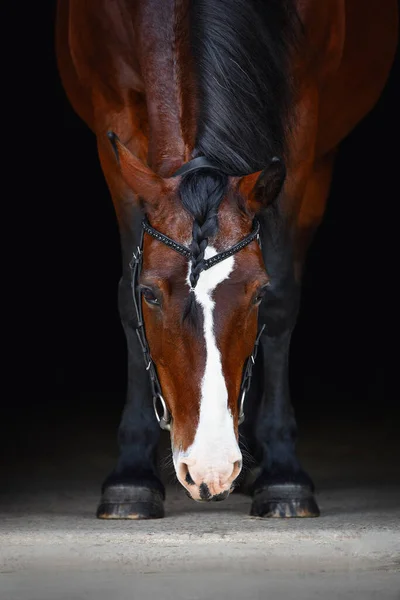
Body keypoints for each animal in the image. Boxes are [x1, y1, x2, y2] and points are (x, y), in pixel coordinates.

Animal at [55, 0, 396, 516]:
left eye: (256, 293)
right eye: (149, 294)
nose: (210, 471)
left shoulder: (302, 121)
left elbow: (283, 298)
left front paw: (283, 474)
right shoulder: (112, 113)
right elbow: (123, 301)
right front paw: (131, 475)